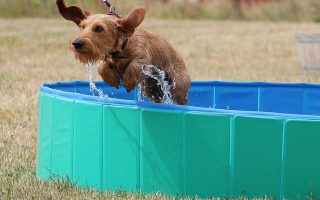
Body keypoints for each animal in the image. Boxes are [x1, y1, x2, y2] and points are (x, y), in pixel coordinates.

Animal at [56, 0, 191, 105]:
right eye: (83, 27)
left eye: (99, 28)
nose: (76, 43)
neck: (120, 52)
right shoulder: (105, 57)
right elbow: (102, 65)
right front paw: (111, 79)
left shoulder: (143, 58)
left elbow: (134, 66)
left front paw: (129, 81)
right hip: (150, 89)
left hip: (178, 88)